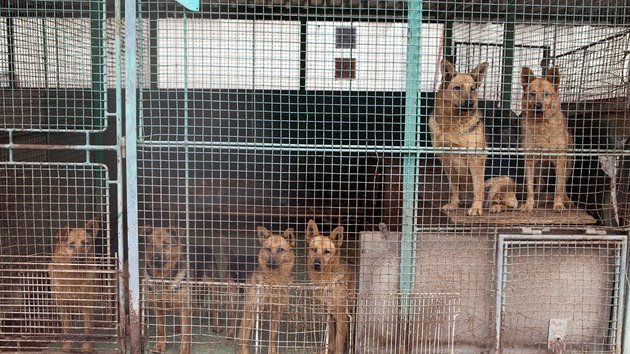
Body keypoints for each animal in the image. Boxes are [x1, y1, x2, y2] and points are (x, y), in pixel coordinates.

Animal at [48, 217, 100, 352]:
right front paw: (66, 347)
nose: (80, 258)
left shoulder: (87, 304)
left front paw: (87, 347)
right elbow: (67, 328)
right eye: (71, 244)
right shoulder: (62, 305)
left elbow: (87, 329)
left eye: (85, 243)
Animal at [308, 220, 358, 352]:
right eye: (313, 249)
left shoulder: (341, 316)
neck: (327, 280)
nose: (316, 264)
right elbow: (331, 341)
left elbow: (338, 344)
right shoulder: (329, 313)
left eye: (327, 251)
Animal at [430, 58, 494, 216]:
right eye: (458, 88)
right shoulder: (447, 161)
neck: (453, 123)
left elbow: (478, 187)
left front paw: (476, 208)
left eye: (472, 89)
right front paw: (454, 204)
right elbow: (454, 187)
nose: (470, 103)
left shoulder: (475, 159)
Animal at [520, 65, 576, 212]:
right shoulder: (529, 160)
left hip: (569, 164)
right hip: (539, 167)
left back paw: (566, 200)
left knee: (564, 185)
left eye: (546, 94)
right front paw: (529, 204)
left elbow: (559, 186)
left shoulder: (560, 160)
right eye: (532, 93)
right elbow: (529, 187)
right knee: (540, 183)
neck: (542, 124)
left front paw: (558, 204)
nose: (538, 105)